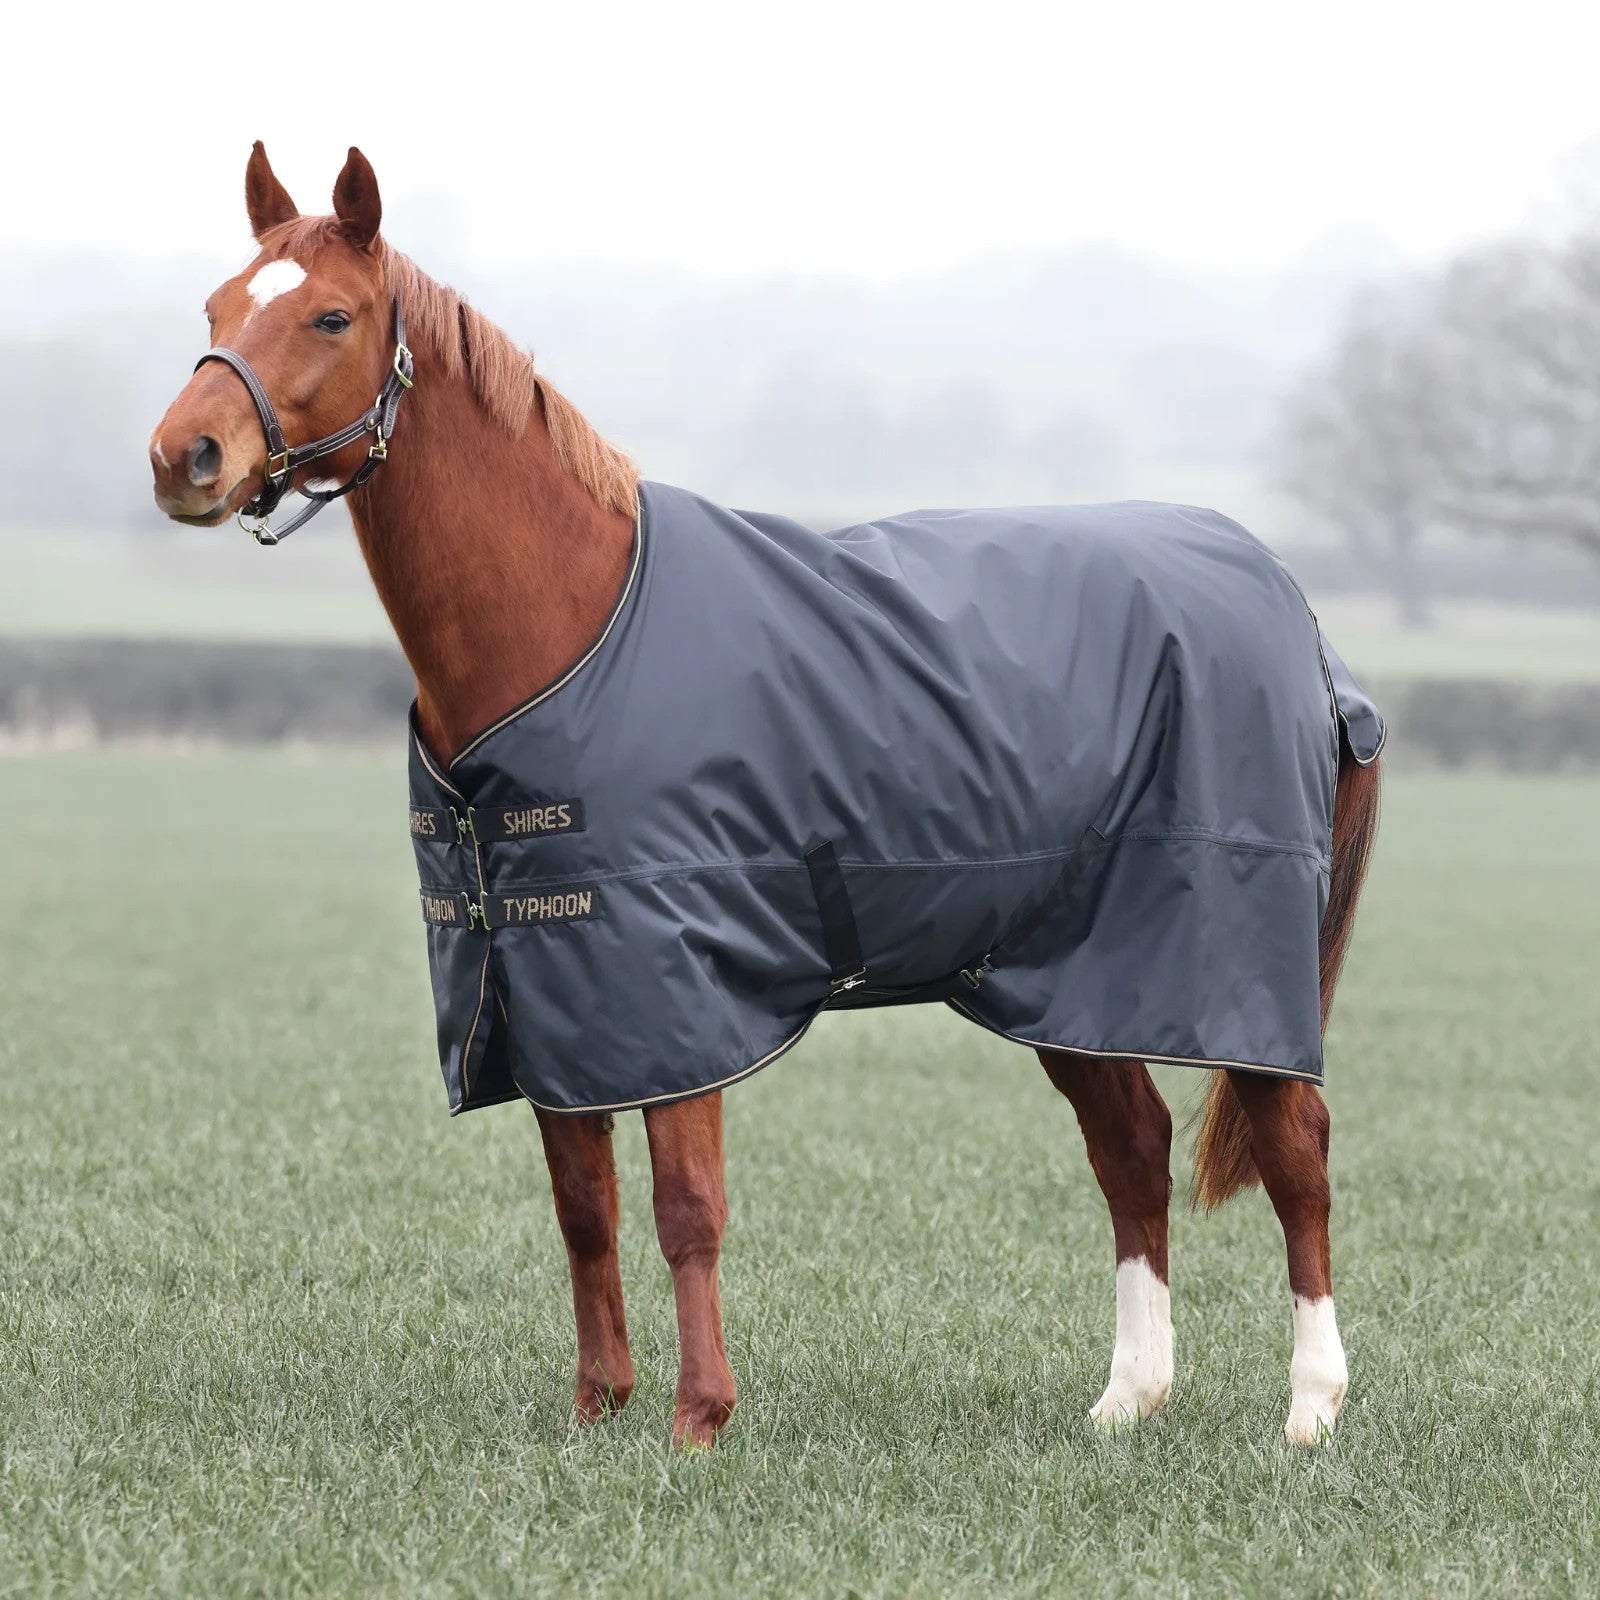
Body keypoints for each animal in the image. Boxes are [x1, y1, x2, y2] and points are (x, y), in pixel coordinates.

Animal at [150, 144, 1382, 1450]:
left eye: (331, 315)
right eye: (216, 309)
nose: (184, 459)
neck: (575, 623)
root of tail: (1292, 610)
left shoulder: (670, 987)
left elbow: (686, 1204)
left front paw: (698, 1420)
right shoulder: (548, 986)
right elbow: (583, 1206)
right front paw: (597, 1407)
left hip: (1231, 961)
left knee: (1296, 1152)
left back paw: (1309, 1410)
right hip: (1077, 973)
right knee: (1132, 1148)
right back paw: (1126, 1399)